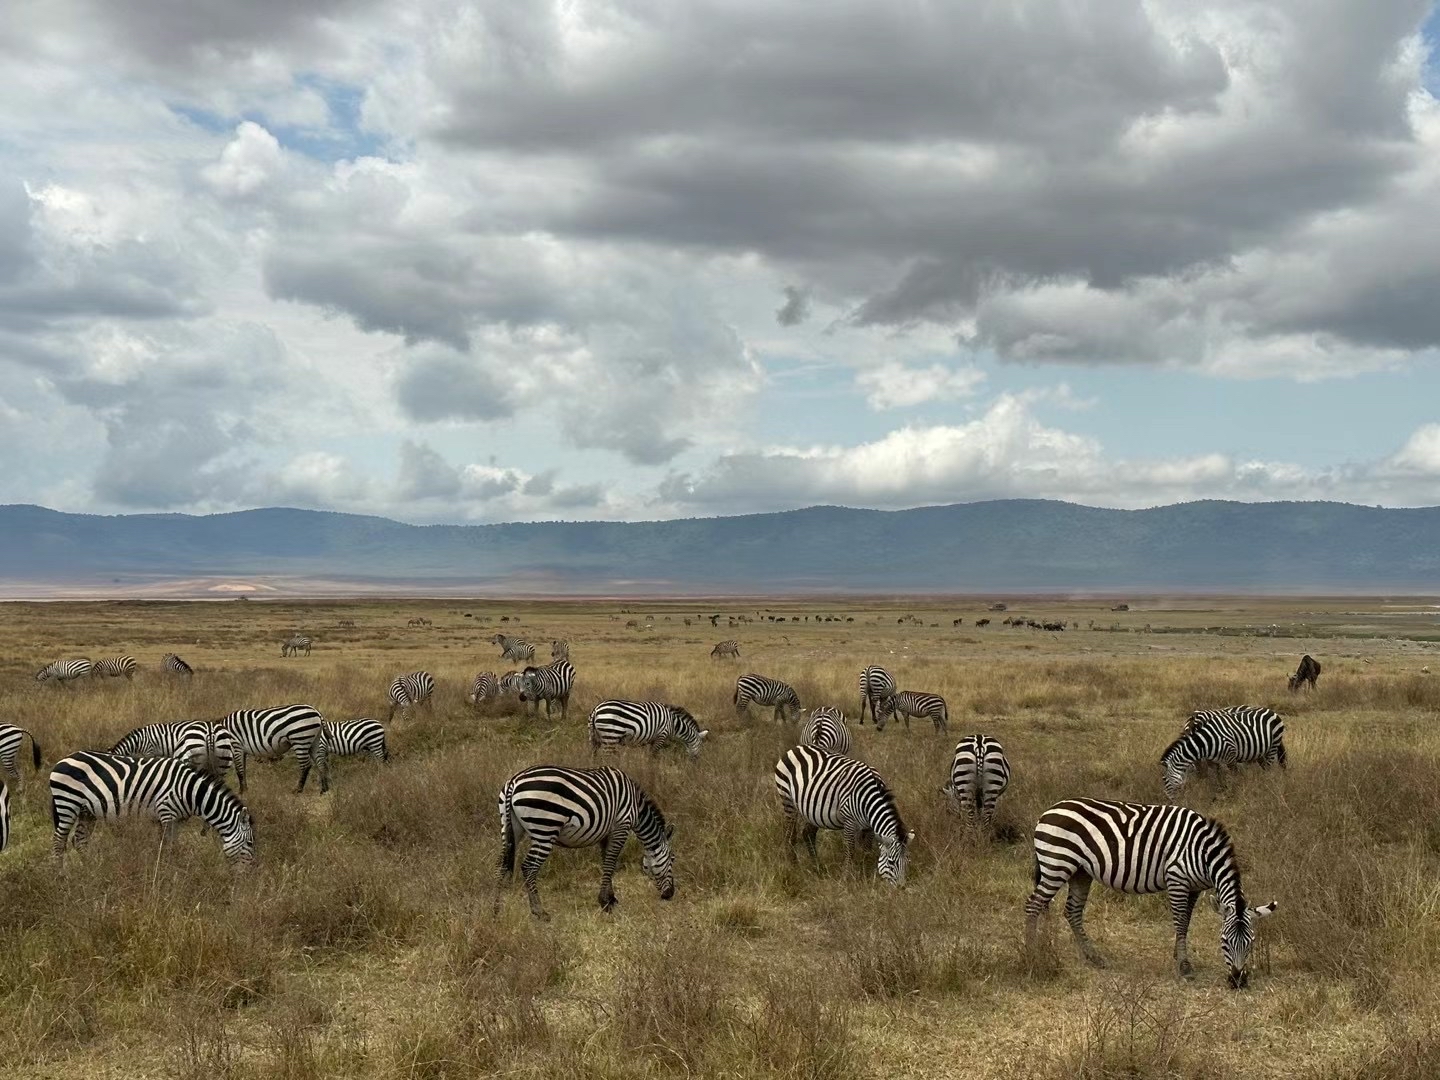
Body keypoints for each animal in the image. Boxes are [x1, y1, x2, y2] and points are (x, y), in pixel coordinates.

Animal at [47, 748, 256, 869]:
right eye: (250, 843)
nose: (250, 873)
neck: (190, 791)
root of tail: (64, 759)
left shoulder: (176, 819)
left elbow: (170, 845)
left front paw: (171, 867)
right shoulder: (166, 813)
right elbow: (167, 845)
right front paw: (167, 870)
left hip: (86, 811)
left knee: (79, 840)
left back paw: (90, 870)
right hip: (67, 803)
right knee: (59, 841)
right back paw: (60, 875)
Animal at [492, 760, 676, 921]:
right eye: (672, 859)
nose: (670, 895)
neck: (636, 808)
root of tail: (514, 781)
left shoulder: (606, 833)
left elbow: (606, 862)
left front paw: (610, 898)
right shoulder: (621, 826)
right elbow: (611, 862)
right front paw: (605, 902)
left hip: (510, 827)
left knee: (501, 864)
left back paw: (496, 910)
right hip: (545, 828)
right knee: (529, 867)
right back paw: (539, 912)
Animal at [777, 743, 910, 887]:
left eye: (907, 861)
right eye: (891, 862)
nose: (901, 887)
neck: (868, 798)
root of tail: (798, 747)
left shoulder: (868, 826)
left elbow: (866, 848)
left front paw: (864, 869)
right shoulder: (849, 820)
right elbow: (850, 848)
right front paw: (846, 877)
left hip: (812, 811)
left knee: (808, 833)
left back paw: (817, 867)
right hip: (787, 800)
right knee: (790, 834)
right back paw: (794, 865)